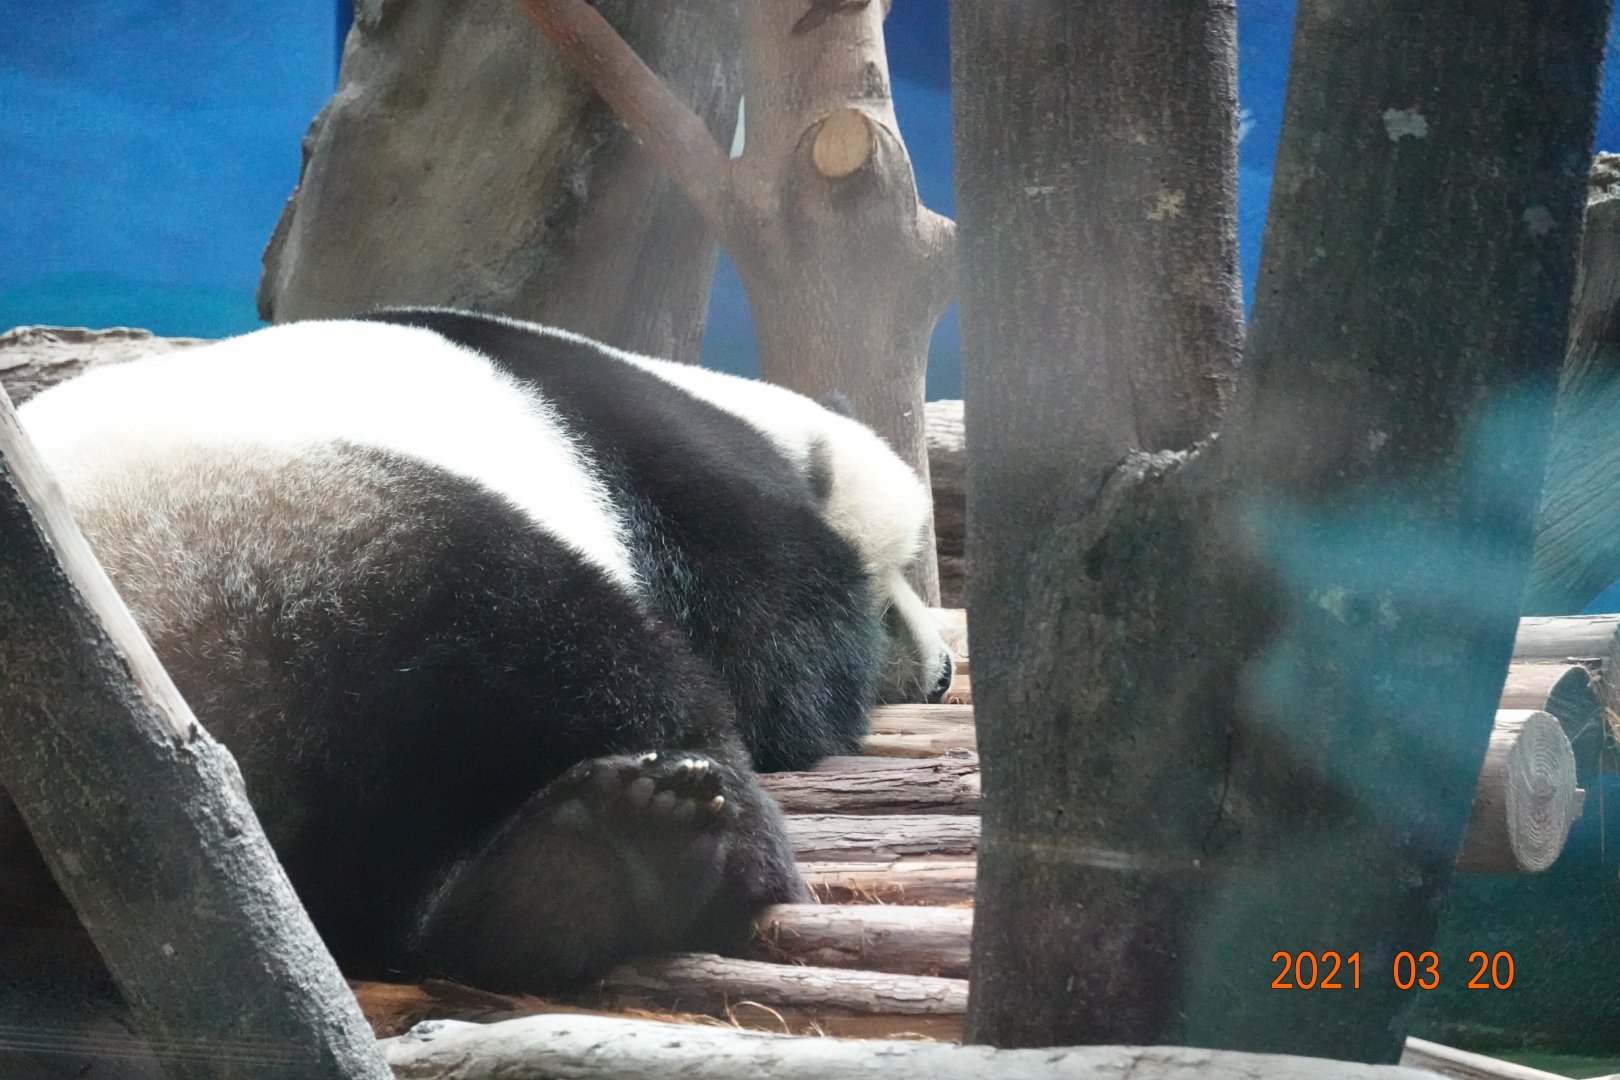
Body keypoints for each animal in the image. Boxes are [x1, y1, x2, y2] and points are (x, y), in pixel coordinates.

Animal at [3, 308, 952, 996]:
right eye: (896, 583)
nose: (943, 674)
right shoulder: (688, 485)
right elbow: (784, 663)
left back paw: (559, 880)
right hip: (308, 536)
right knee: (574, 655)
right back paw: (662, 837)